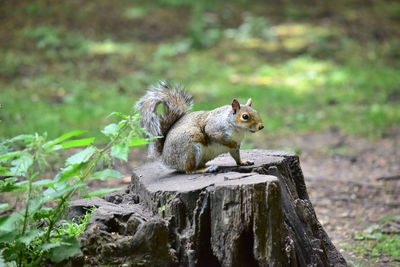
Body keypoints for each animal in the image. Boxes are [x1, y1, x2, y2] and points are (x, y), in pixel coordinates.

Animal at [136, 81, 264, 174]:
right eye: (245, 116)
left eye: (257, 112)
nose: (261, 126)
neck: (238, 129)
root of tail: (165, 158)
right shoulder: (214, 128)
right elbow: (216, 136)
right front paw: (230, 143)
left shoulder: (236, 148)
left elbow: (236, 157)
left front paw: (243, 162)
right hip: (190, 149)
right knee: (189, 170)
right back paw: (206, 169)